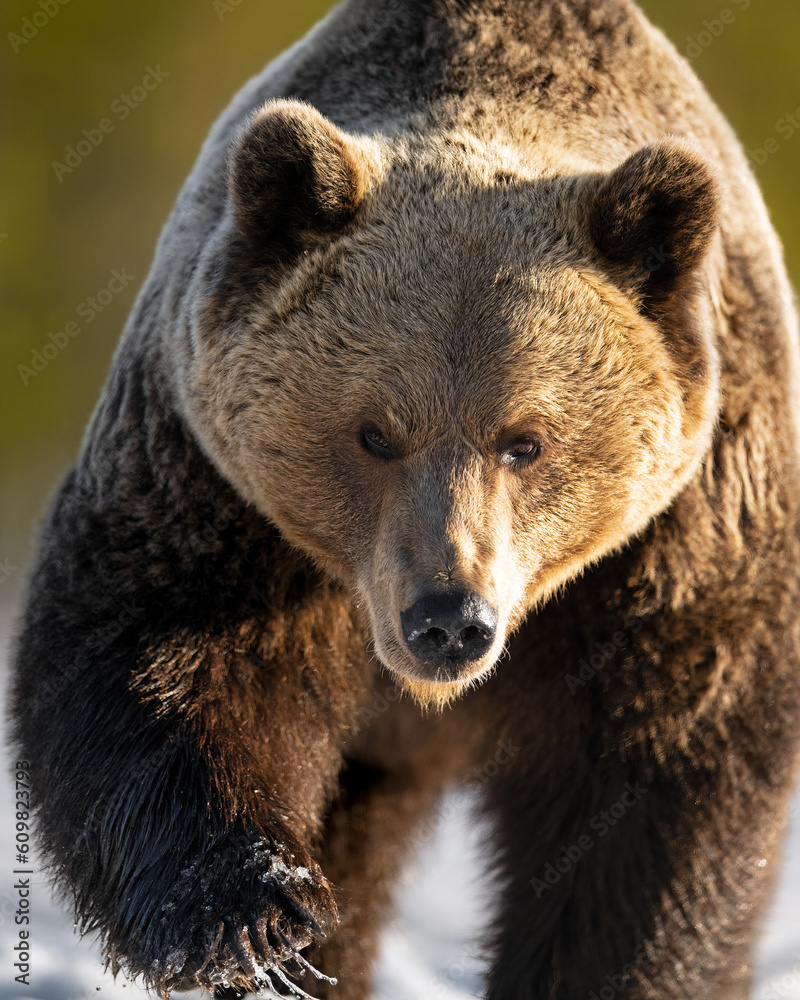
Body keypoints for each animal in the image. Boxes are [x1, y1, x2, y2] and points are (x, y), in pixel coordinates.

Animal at [10, 1, 800, 1000]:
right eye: (374, 432)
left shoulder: (684, 540)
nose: (448, 618)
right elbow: (155, 662)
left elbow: (656, 778)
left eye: (525, 439)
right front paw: (256, 917)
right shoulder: (217, 492)